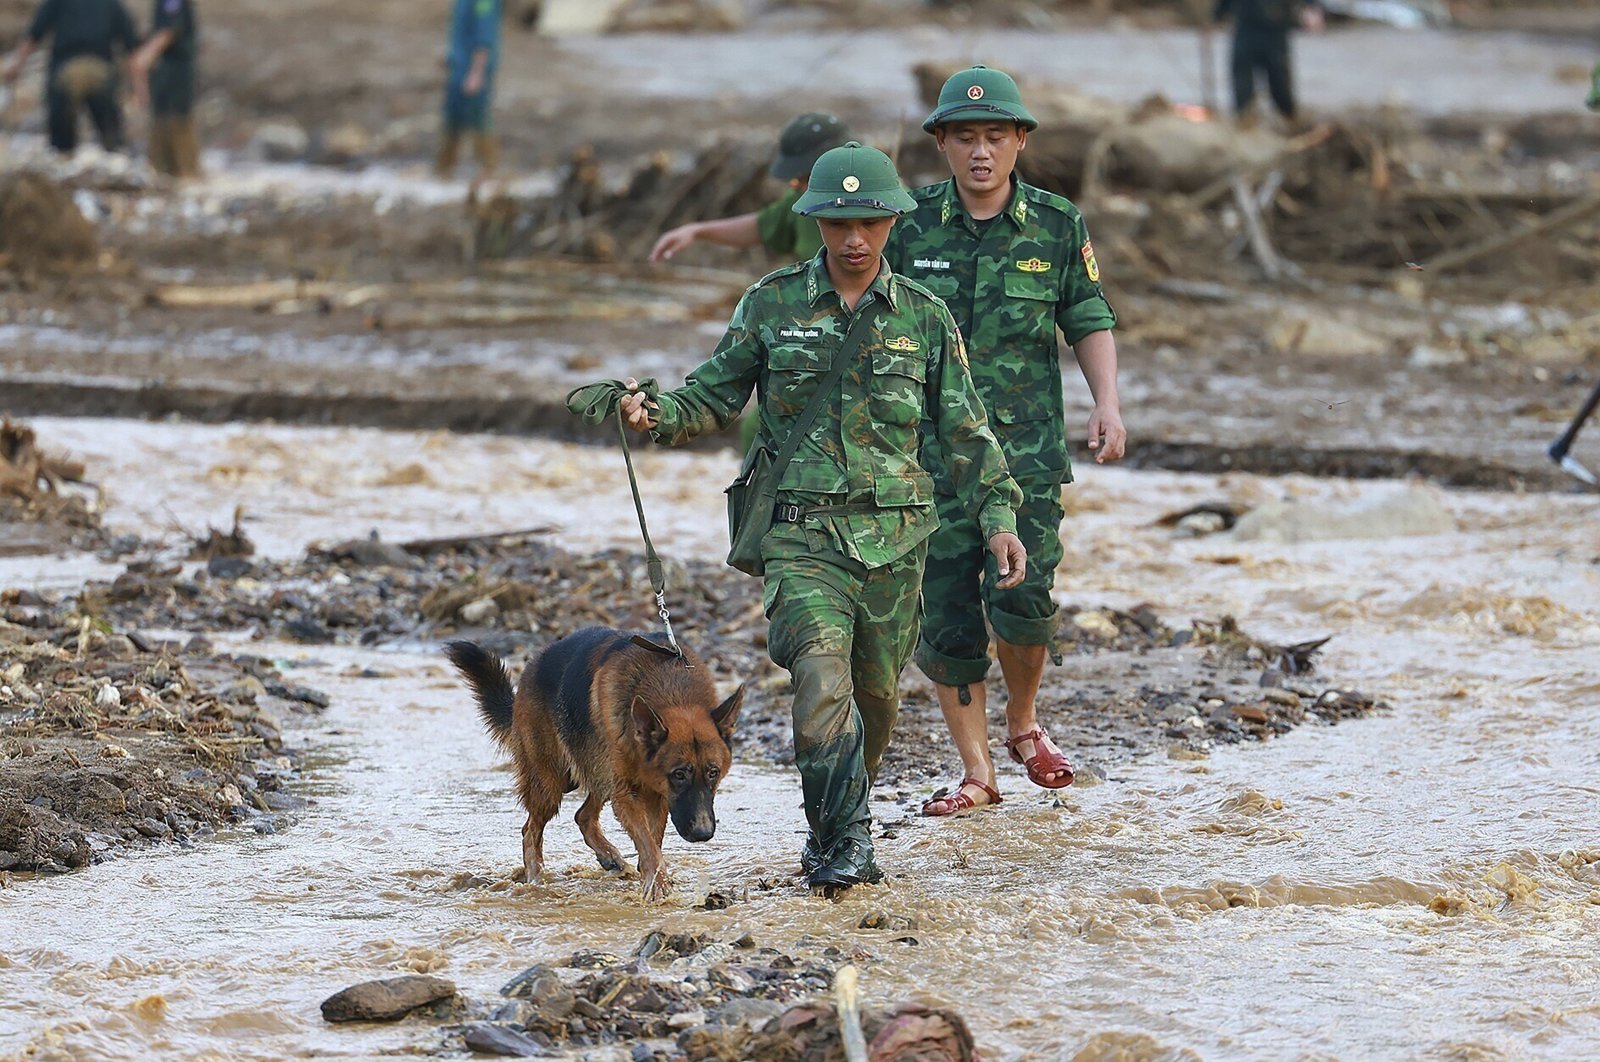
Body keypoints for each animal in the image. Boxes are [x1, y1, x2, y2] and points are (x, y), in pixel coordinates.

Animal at [444, 630, 742, 902]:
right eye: (679, 774)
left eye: (713, 773)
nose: (703, 833)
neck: (673, 692)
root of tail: (531, 669)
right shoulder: (629, 794)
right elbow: (647, 842)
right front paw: (657, 885)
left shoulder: (655, 795)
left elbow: (652, 841)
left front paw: (652, 877)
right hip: (552, 783)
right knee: (531, 830)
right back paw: (536, 882)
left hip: (598, 772)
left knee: (583, 816)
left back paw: (608, 857)